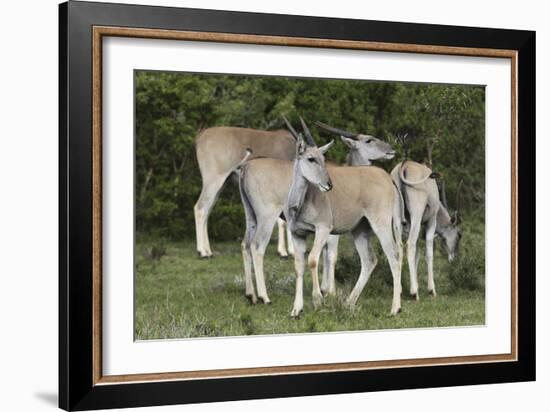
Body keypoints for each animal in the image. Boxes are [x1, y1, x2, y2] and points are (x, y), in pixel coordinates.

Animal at [390, 159, 464, 298]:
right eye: (459, 235)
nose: (454, 257)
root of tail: (405, 165)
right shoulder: (431, 221)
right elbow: (428, 252)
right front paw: (431, 289)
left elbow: (417, 255)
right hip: (417, 215)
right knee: (410, 245)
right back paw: (414, 293)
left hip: (397, 220)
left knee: (399, 247)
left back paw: (400, 290)